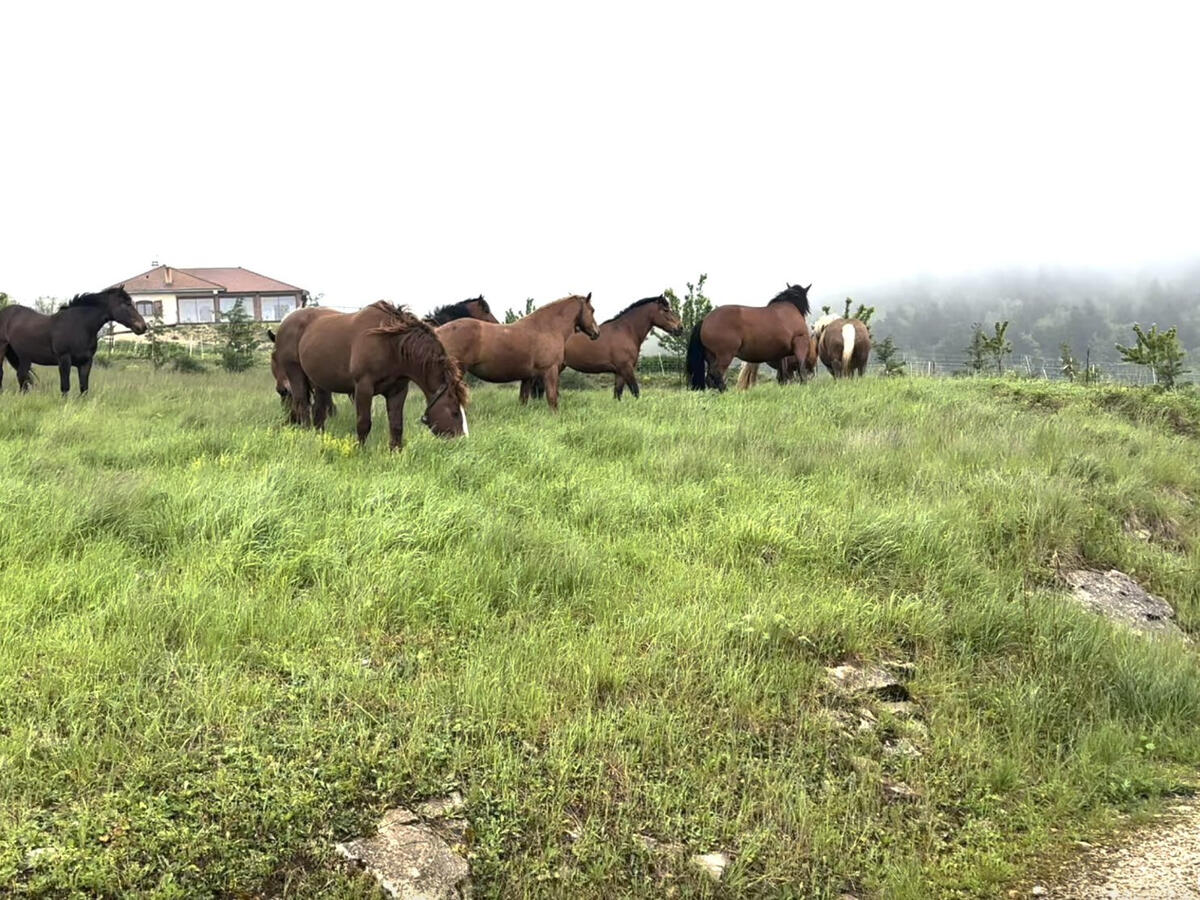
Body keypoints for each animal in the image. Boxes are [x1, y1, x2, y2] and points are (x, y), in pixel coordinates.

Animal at [0, 286, 148, 396]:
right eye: (126, 304)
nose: (142, 327)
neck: (79, 325)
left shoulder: (86, 362)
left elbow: (84, 388)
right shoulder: (64, 359)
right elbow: (65, 387)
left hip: (23, 356)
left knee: (22, 376)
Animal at [278, 304, 470, 448]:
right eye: (454, 412)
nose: (462, 441)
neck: (390, 344)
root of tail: (285, 321)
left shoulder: (398, 390)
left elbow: (396, 425)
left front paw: (396, 454)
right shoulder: (363, 387)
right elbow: (364, 423)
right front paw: (361, 452)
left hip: (320, 382)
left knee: (318, 412)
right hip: (295, 373)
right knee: (302, 406)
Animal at [436, 292, 600, 412]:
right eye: (592, 310)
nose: (596, 333)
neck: (546, 328)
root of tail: (438, 331)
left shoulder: (527, 377)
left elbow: (523, 400)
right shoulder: (550, 371)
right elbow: (552, 399)